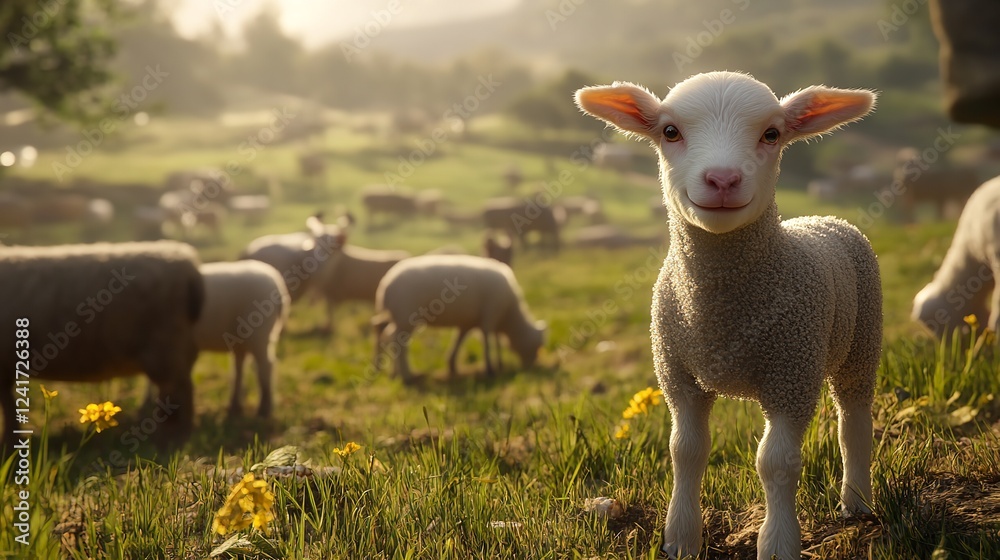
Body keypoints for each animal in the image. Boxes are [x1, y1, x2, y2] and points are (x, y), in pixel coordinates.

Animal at [0, 241, 204, 449]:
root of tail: (188, 265)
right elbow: (8, 404)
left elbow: (7, 405)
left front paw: (8, 442)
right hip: (178, 346)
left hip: (165, 346)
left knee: (179, 391)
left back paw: (173, 439)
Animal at [371, 254, 545, 381]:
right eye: (537, 346)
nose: (531, 367)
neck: (509, 316)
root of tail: (385, 286)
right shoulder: (490, 315)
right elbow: (488, 340)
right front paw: (490, 368)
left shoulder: (468, 323)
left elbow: (460, 341)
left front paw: (452, 365)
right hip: (406, 317)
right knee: (398, 343)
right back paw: (407, 375)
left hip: (398, 318)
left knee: (388, 336)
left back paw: (394, 373)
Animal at [576, 71, 882, 560]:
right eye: (669, 131)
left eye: (772, 134)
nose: (722, 178)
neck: (722, 314)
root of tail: (824, 217)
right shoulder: (678, 377)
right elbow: (685, 451)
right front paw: (681, 538)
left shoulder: (792, 376)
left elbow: (776, 463)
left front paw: (777, 544)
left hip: (861, 343)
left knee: (853, 421)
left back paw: (856, 503)